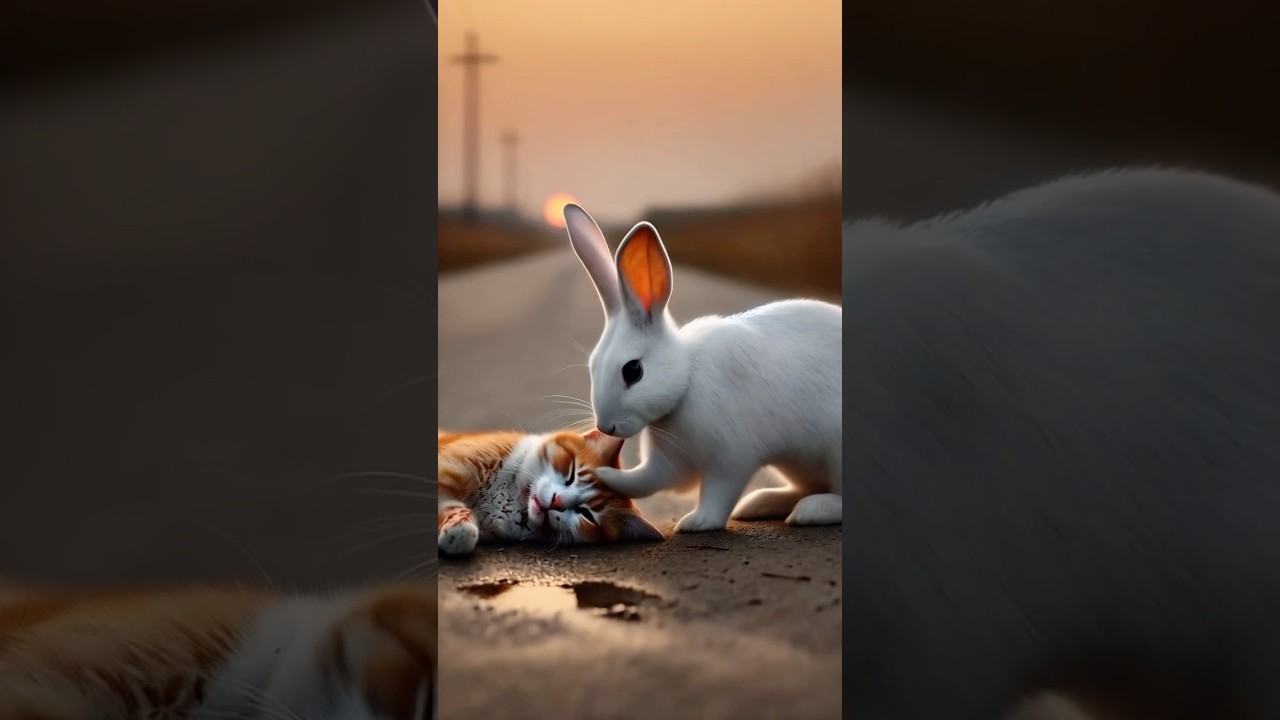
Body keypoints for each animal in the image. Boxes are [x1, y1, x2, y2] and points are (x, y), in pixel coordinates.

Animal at [562, 203, 842, 533]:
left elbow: (718, 493)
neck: (686, 381)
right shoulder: (670, 460)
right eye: (592, 366)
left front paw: (697, 522)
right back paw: (760, 503)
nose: (606, 427)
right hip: (796, 464)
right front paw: (600, 474)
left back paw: (811, 510)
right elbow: (644, 480)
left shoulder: (731, 458)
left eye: (633, 371)